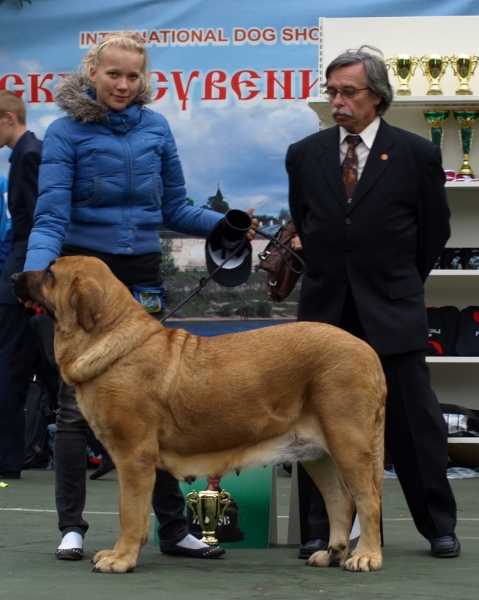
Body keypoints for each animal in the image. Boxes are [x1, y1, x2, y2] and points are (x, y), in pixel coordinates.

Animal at [11, 255, 388, 576]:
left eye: (49, 273)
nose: (14, 276)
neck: (109, 338)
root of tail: (368, 351)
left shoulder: (134, 456)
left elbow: (129, 512)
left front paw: (121, 559)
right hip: (315, 453)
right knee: (341, 501)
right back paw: (332, 553)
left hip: (348, 442)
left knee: (368, 499)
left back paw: (366, 556)